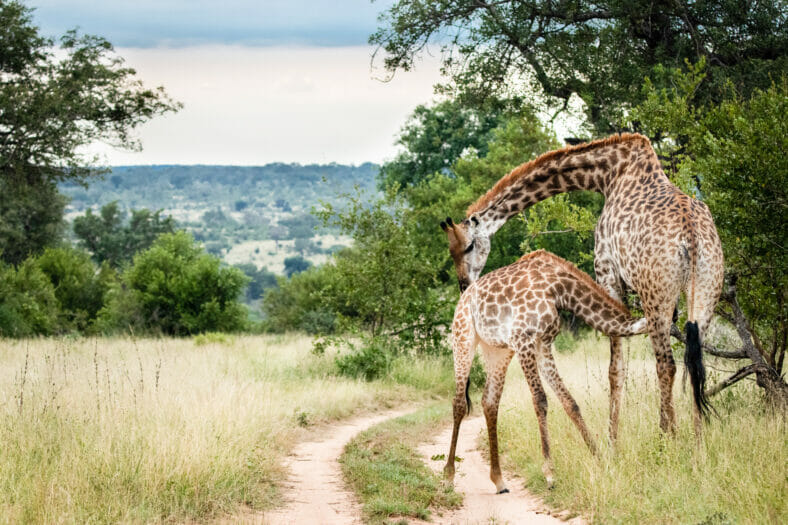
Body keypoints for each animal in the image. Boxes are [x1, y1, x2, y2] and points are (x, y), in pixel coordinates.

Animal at [437, 244, 648, 491]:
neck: (559, 289)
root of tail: (463, 298)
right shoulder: (524, 339)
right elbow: (540, 400)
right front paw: (550, 474)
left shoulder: (543, 344)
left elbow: (570, 402)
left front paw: (600, 460)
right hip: (463, 338)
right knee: (459, 402)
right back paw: (448, 476)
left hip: (497, 350)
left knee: (490, 402)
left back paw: (498, 480)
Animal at [443, 133, 724, 442]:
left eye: (469, 246)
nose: (464, 284)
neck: (607, 174)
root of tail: (691, 237)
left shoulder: (607, 271)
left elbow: (615, 368)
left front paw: (612, 441)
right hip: (706, 291)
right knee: (693, 360)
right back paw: (698, 442)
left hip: (656, 294)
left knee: (666, 364)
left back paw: (667, 437)